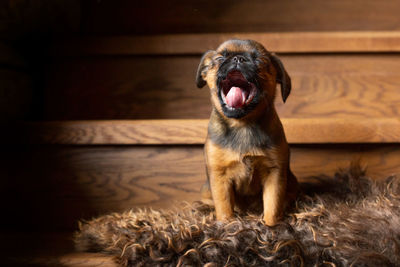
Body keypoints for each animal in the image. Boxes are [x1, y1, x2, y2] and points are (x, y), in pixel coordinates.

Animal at [195, 39, 298, 227]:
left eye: (259, 60)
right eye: (220, 58)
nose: (238, 58)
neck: (242, 124)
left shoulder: (274, 173)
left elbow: (272, 206)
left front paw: (271, 226)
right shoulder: (220, 176)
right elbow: (224, 207)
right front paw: (227, 226)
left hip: (292, 182)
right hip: (207, 188)